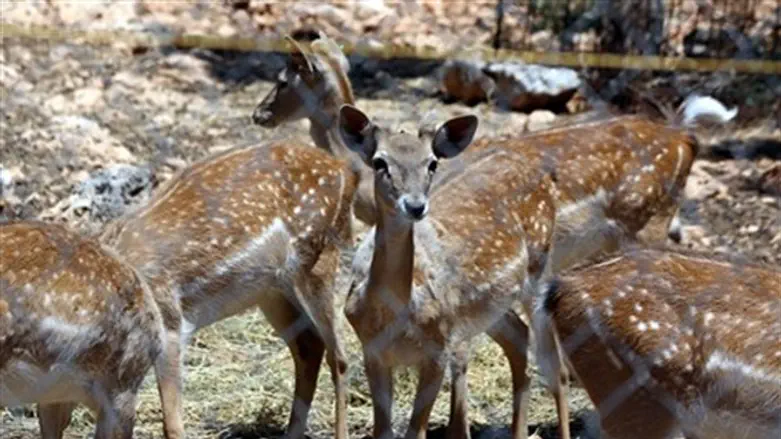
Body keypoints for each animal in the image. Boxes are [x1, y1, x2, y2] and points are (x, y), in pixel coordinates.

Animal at [98, 139, 358, 439]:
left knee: (338, 356)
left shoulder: (170, 320)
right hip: (272, 291)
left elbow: (171, 423)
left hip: (319, 258)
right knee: (310, 345)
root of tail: (345, 171)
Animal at [337, 103, 560, 439]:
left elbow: (415, 431)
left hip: (539, 269)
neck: (394, 314)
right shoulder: (372, 351)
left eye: (431, 163)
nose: (415, 206)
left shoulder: (438, 347)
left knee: (553, 358)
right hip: (486, 307)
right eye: (379, 162)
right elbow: (383, 431)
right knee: (519, 336)